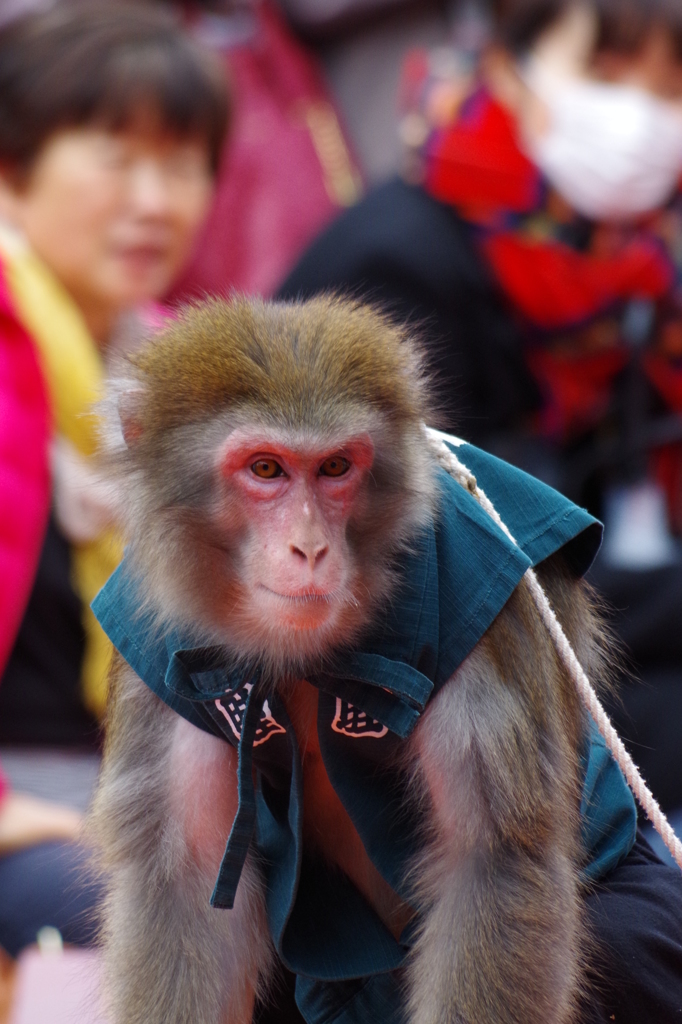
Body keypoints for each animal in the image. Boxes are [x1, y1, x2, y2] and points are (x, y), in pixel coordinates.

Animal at [89, 294, 630, 1024]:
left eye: (336, 468)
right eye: (266, 469)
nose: (311, 548)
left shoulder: (491, 603)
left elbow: (490, 865)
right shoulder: (159, 655)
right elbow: (187, 886)